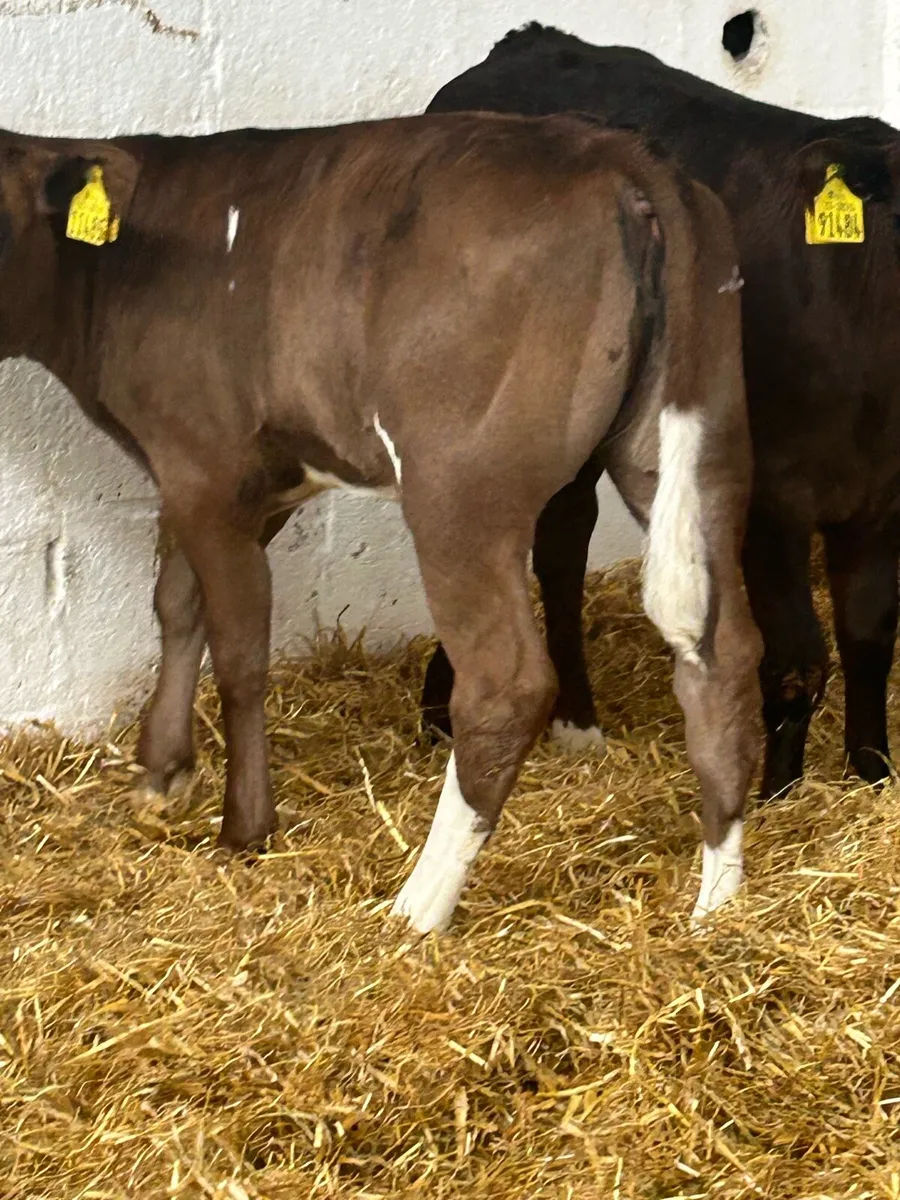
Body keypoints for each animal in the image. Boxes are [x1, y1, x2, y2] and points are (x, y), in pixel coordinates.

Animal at [0, 112, 760, 932]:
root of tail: (619, 152)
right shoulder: (233, 479)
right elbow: (177, 605)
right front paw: (161, 771)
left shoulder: (205, 465)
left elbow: (237, 653)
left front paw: (243, 828)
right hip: (700, 442)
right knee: (723, 649)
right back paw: (718, 903)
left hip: (461, 488)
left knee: (507, 684)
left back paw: (418, 906)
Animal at [424, 23, 900, 801]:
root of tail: (525, 43)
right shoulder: (770, 496)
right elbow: (798, 656)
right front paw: (778, 791)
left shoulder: (881, 497)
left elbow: (867, 637)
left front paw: (872, 773)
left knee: (561, 540)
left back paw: (555, 719)